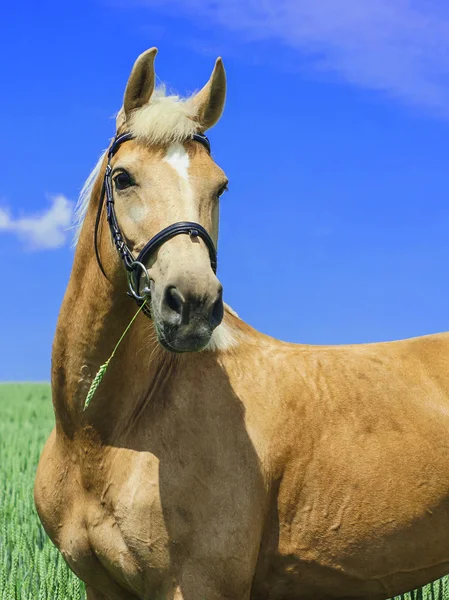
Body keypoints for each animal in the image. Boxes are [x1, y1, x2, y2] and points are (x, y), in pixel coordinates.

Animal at [36, 48, 449, 600]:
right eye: (122, 178)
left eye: (221, 185)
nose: (192, 303)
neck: (100, 436)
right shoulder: (102, 588)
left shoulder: (200, 583)